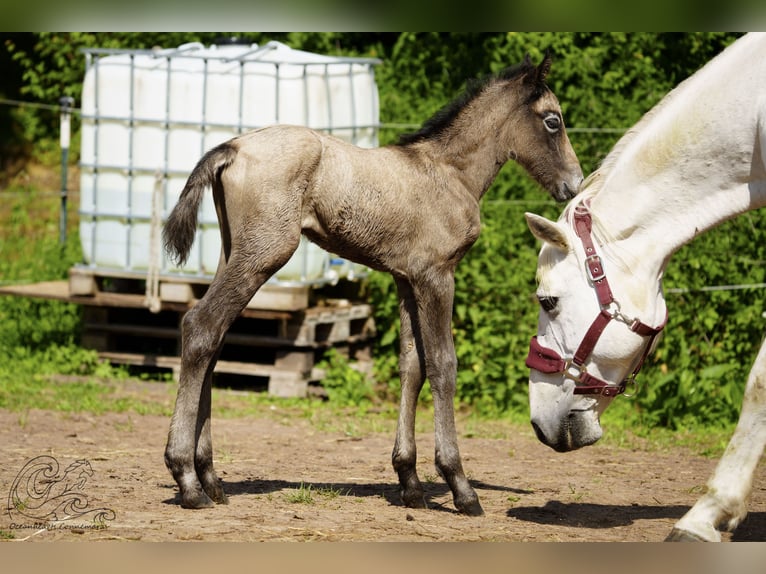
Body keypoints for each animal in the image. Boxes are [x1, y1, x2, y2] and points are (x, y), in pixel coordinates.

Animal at [162, 53, 583, 516]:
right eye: (553, 121)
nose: (573, 184)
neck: (450, 173)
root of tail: (232, 147)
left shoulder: (405, 279)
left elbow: (412, 366)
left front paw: (410, 482)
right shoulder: (437, 276)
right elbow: (443, 366)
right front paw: (460, 485)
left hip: (233, 251)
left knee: (213, 338)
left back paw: (210, 478)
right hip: (264, 253)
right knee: (201, 326)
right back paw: (187, 480)